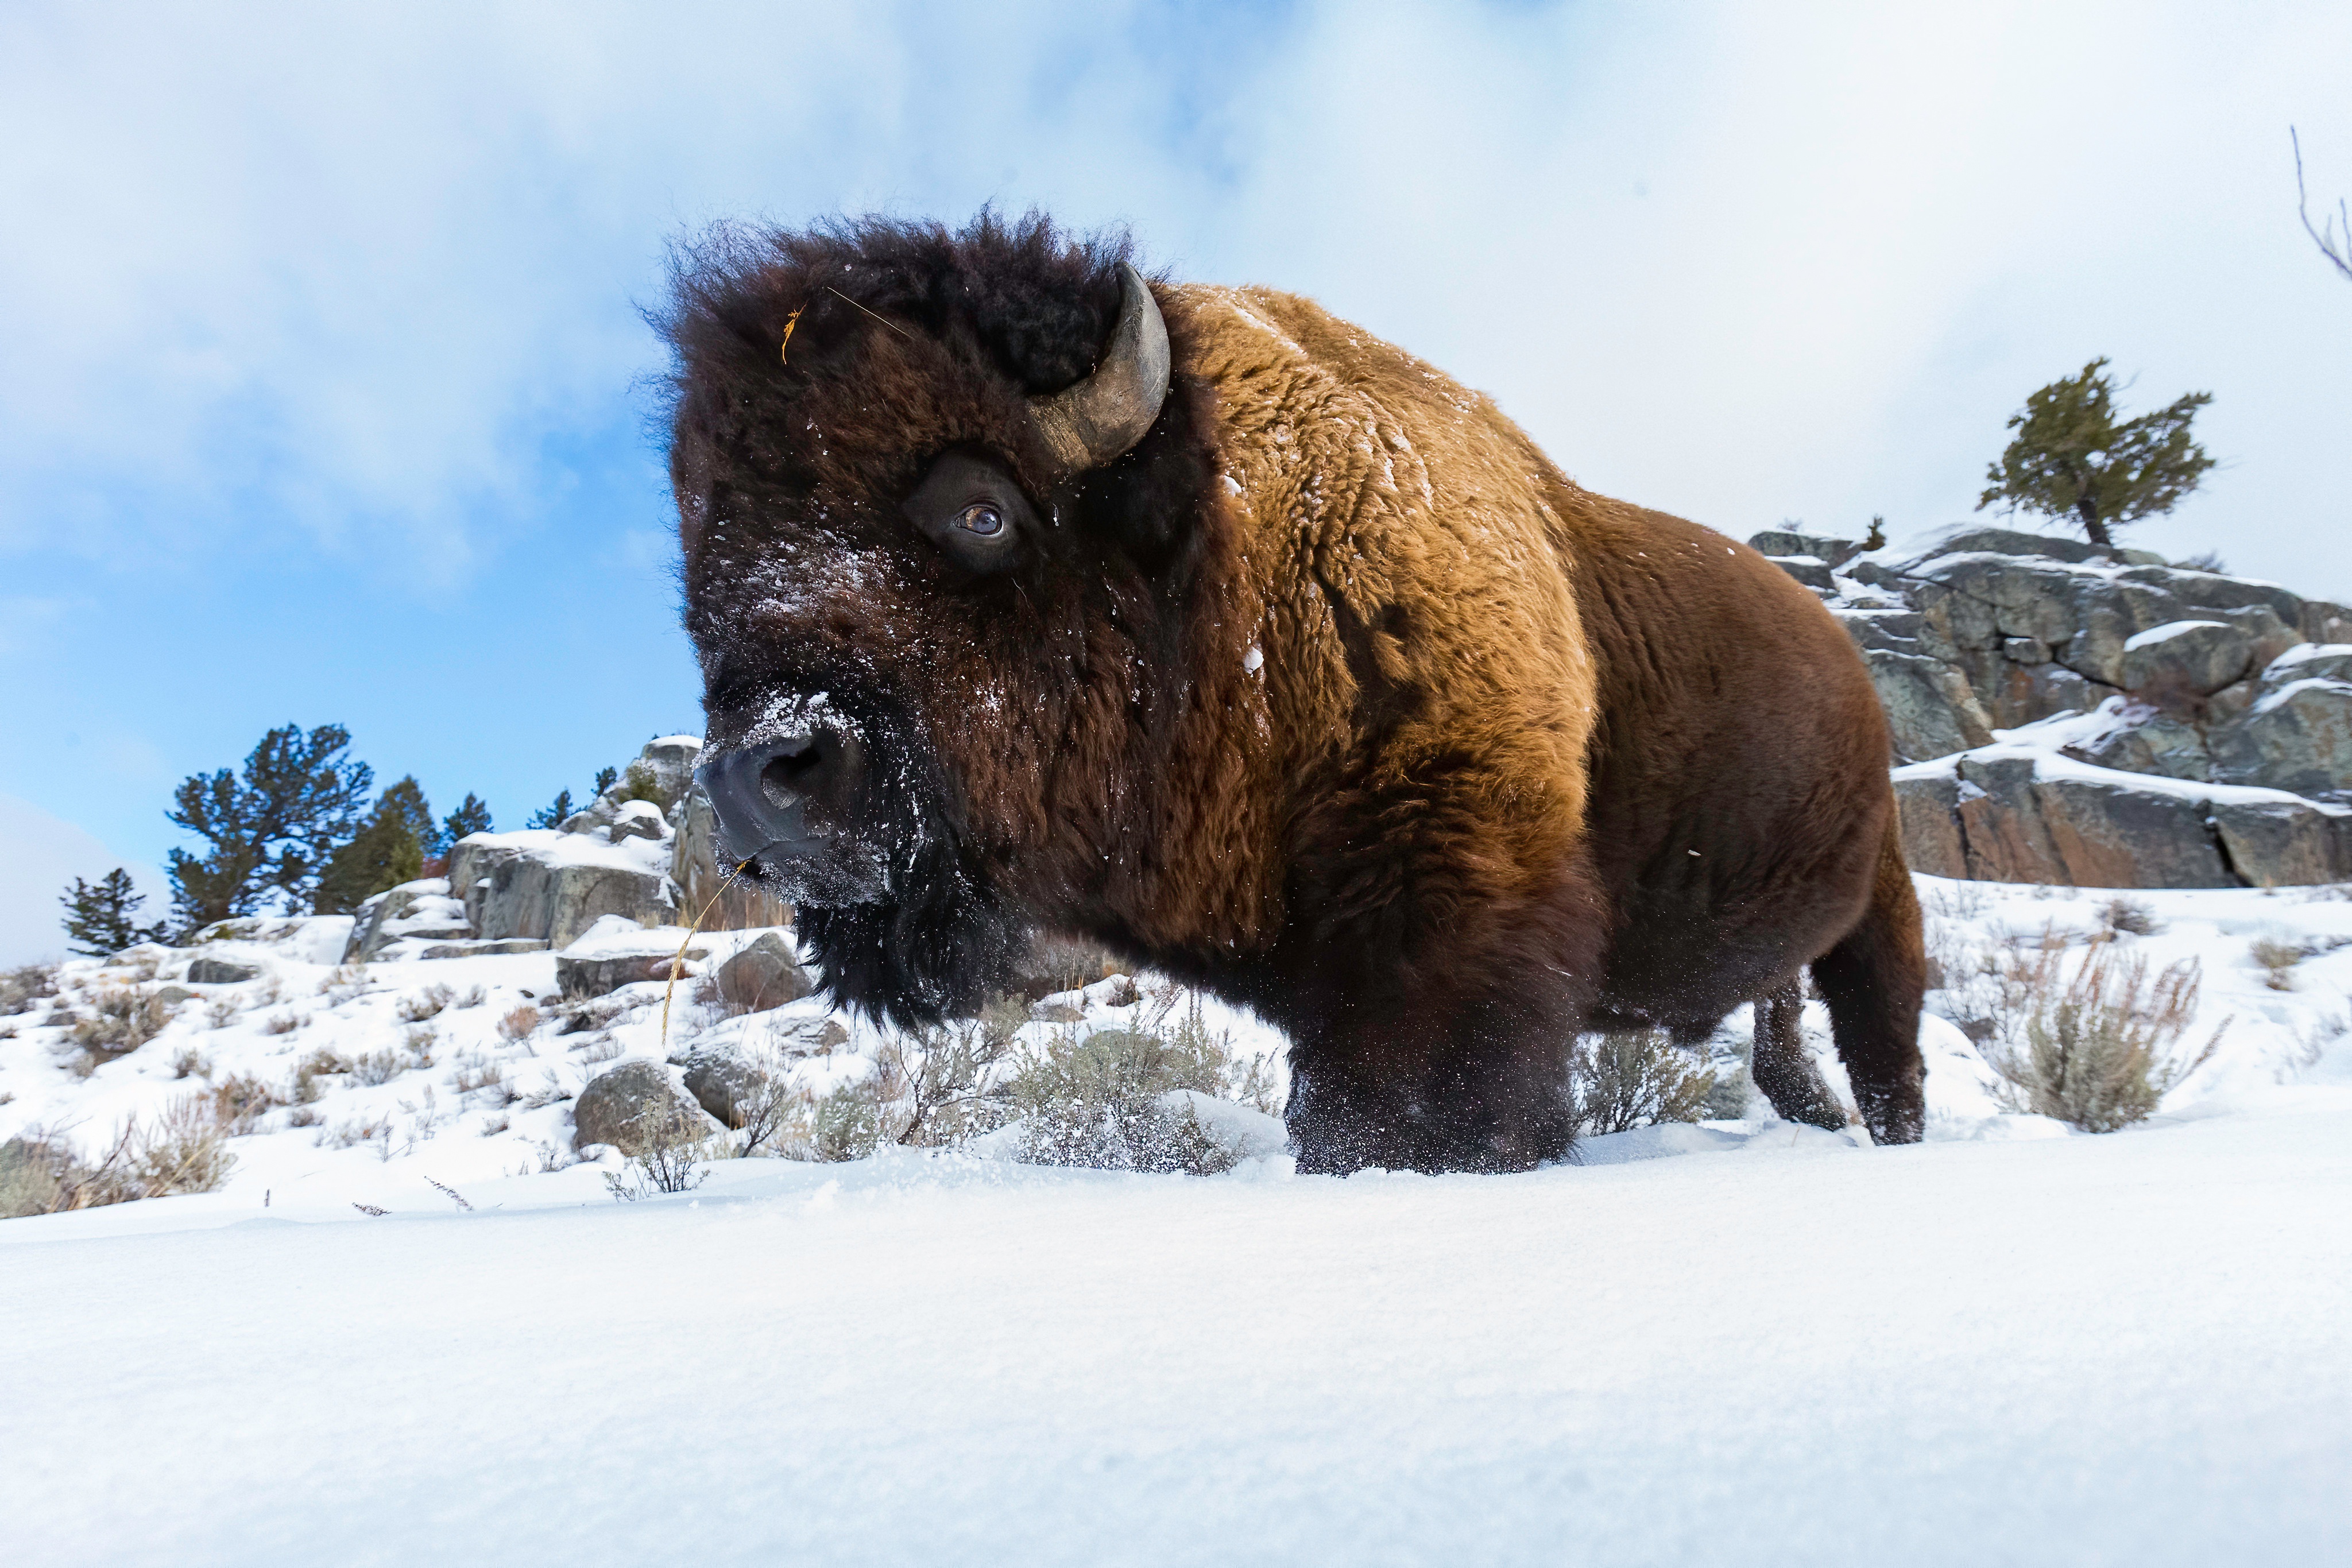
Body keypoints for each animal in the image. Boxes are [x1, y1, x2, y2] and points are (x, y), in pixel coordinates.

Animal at [659, 213, 1924, 1174]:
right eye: (704, 570)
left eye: (983, 509)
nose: (760, 777)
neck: (1236, 563)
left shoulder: (1450, 918)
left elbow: (1414, 1114)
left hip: (1880, 899)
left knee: (1885, 1034)